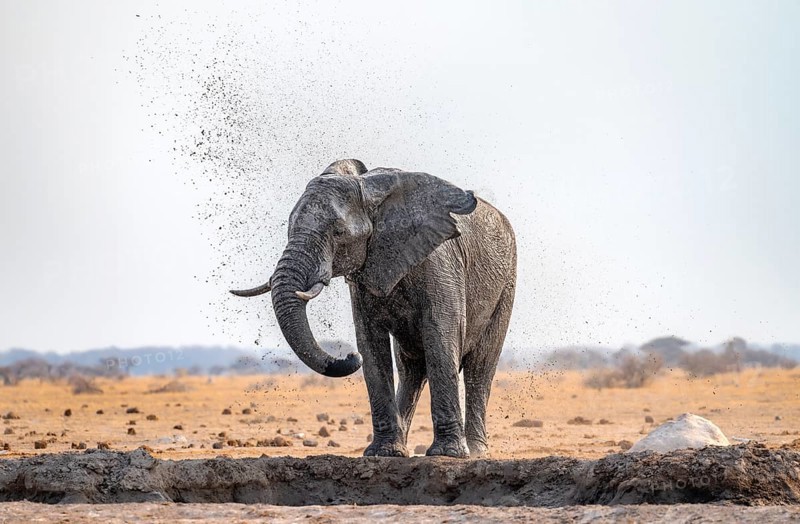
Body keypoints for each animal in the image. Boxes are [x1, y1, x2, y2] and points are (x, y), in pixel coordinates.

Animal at [231, 159, 516, 458]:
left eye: (339, 233)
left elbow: (440, 337)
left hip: (506, 286)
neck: (370, 191)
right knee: (411, 367)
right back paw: (403, 445)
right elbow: (370, 344)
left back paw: (476, 452)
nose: (348, 356)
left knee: (479, 368)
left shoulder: (439, 265)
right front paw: (383, 453)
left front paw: (446, 454)